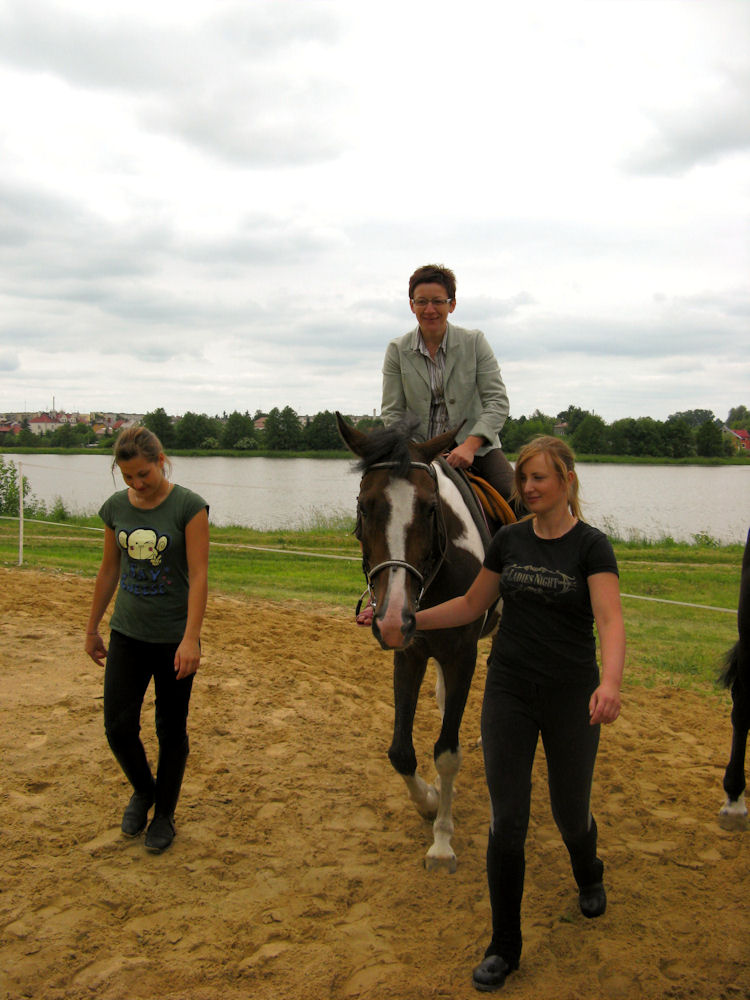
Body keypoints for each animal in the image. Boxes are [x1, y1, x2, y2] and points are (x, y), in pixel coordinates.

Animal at [336, 412, 503, 871]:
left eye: (430, 509)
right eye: (364, 506)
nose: (393, 618)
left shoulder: (462, 655)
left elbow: (446, 752)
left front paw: (442, 841)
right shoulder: (410, 653)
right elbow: (400, 752)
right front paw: (428, 802)